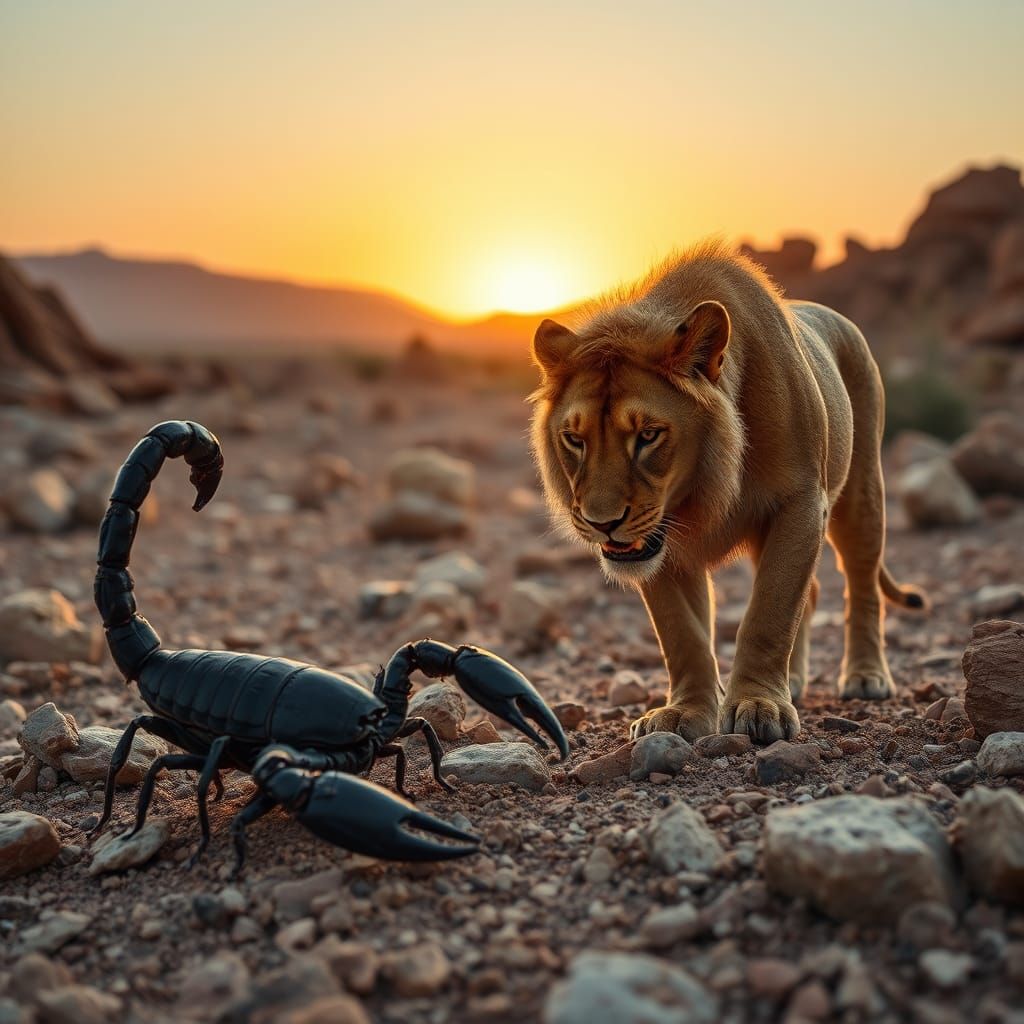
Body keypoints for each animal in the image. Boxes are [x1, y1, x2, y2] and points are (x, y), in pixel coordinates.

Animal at [529, 240, 926, 744]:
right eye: (574, 440)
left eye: (648, 436)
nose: (604, 524)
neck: (705, 487)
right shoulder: (658, 545)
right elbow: (683, 635)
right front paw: (685, 712)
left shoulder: (801, 502)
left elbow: (769, 613)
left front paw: (759, 705)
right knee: (814, 591)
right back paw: (795, 681)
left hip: (861, 491)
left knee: (861, 582)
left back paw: (865, 675)